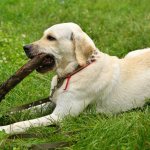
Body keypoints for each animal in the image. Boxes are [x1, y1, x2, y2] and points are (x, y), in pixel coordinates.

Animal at [0, 22, 150, 134]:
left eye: (51, 38)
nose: (25, 47)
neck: (75, 71)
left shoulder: (59, 116)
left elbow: (23, 123)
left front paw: (4, 129)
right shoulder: (53, 102)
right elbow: (26, 110)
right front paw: (5, 116)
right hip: (131, 53)